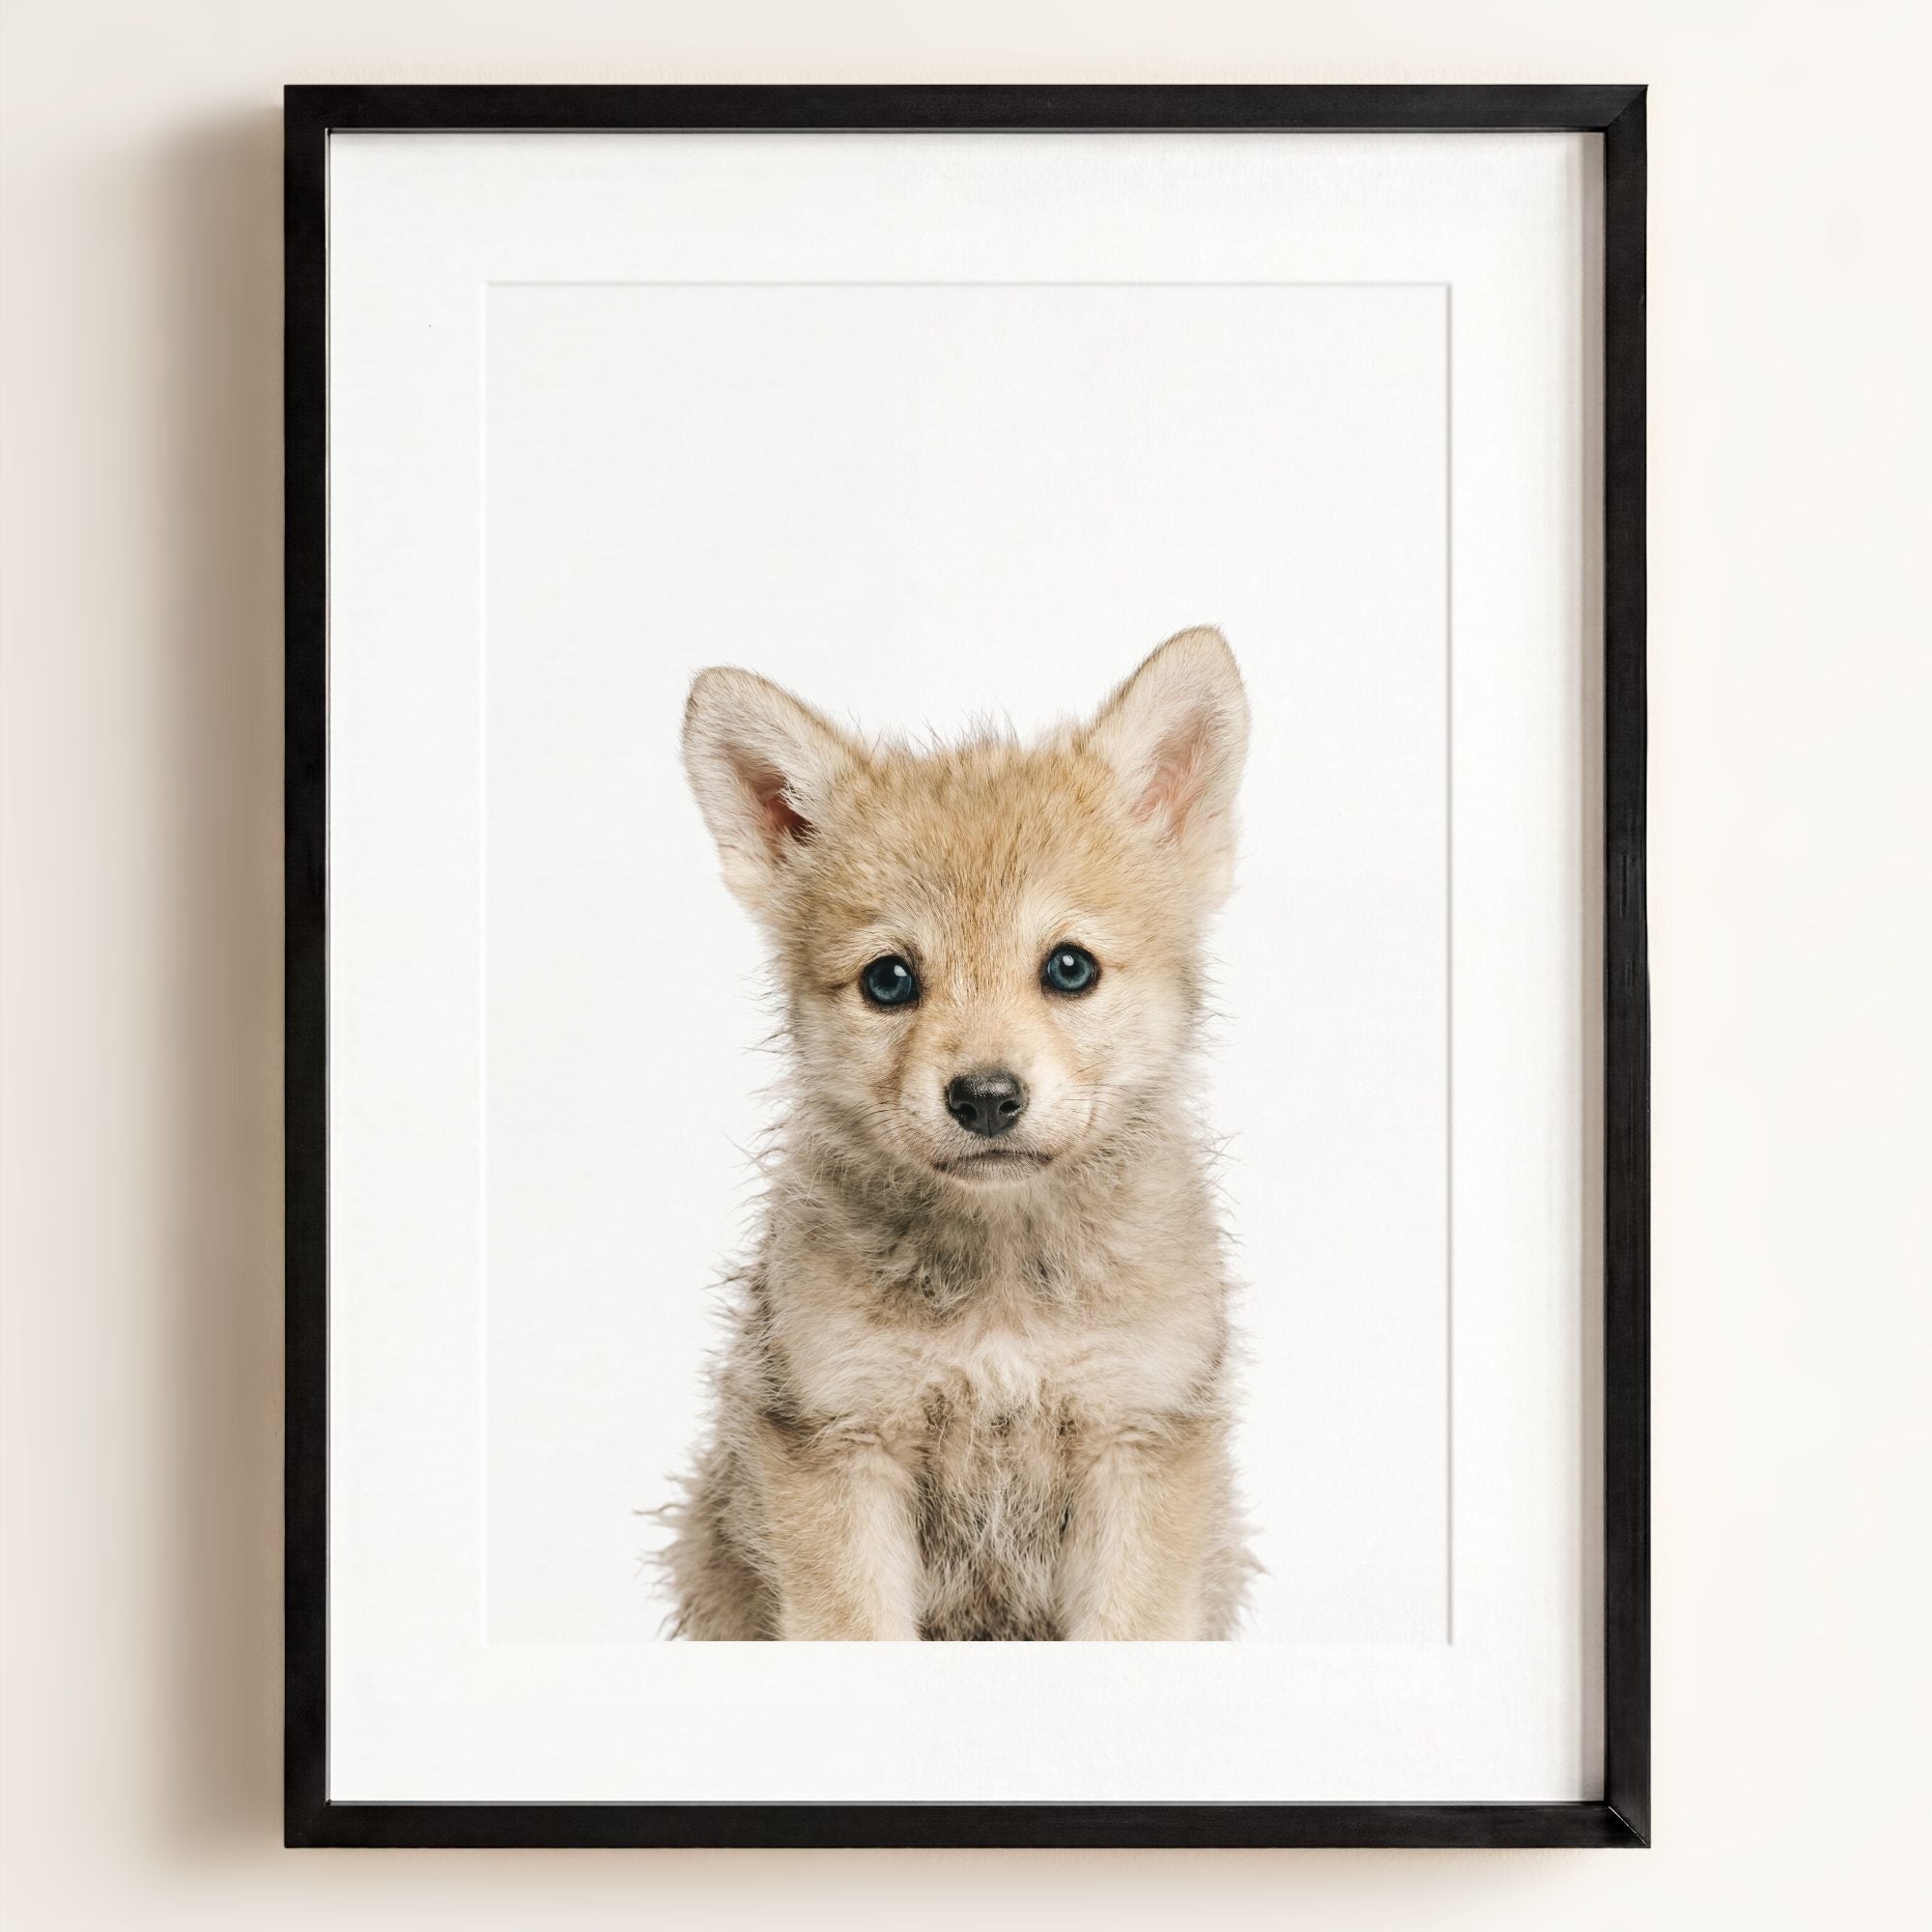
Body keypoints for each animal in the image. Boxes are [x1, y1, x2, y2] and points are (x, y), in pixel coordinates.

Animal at [661, 627, 1254, 1639]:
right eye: (889, 980)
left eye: (1069, 968)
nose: (984, 1097)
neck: (1002, 1295)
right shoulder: (841, 1444)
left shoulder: (1139, 1440)